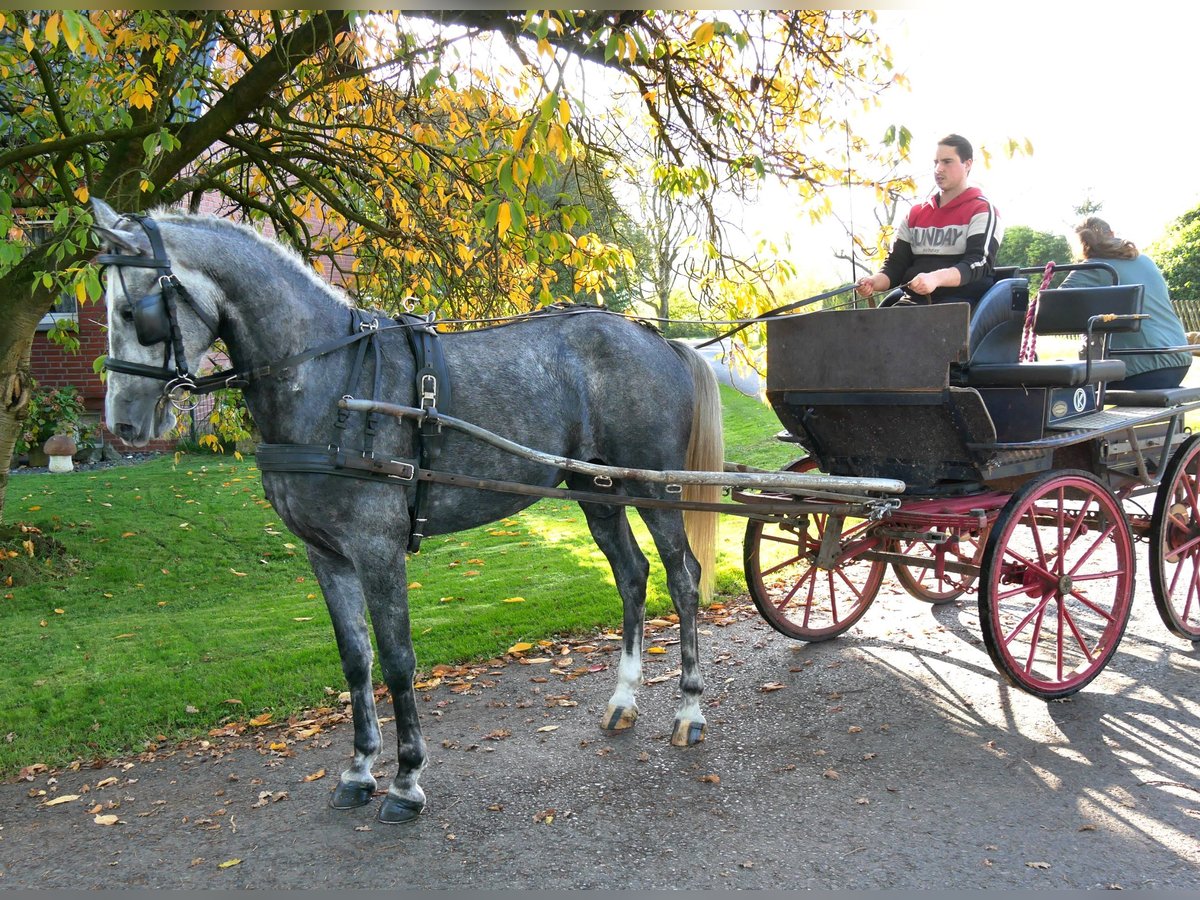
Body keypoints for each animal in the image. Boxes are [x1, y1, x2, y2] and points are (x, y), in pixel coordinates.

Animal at [91, 200, 720, 830]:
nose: (123, 423)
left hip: (657, 487)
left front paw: (406, 779)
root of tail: (656, 338)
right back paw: (623, 701)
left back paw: (689, 710)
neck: (332, 381)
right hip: (597, 490)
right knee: (632, 576)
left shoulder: (377, 547)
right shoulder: (326, 555)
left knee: (682, 578)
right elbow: (355, 660)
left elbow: (397, 660)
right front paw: (358, 771)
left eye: (134, 312)